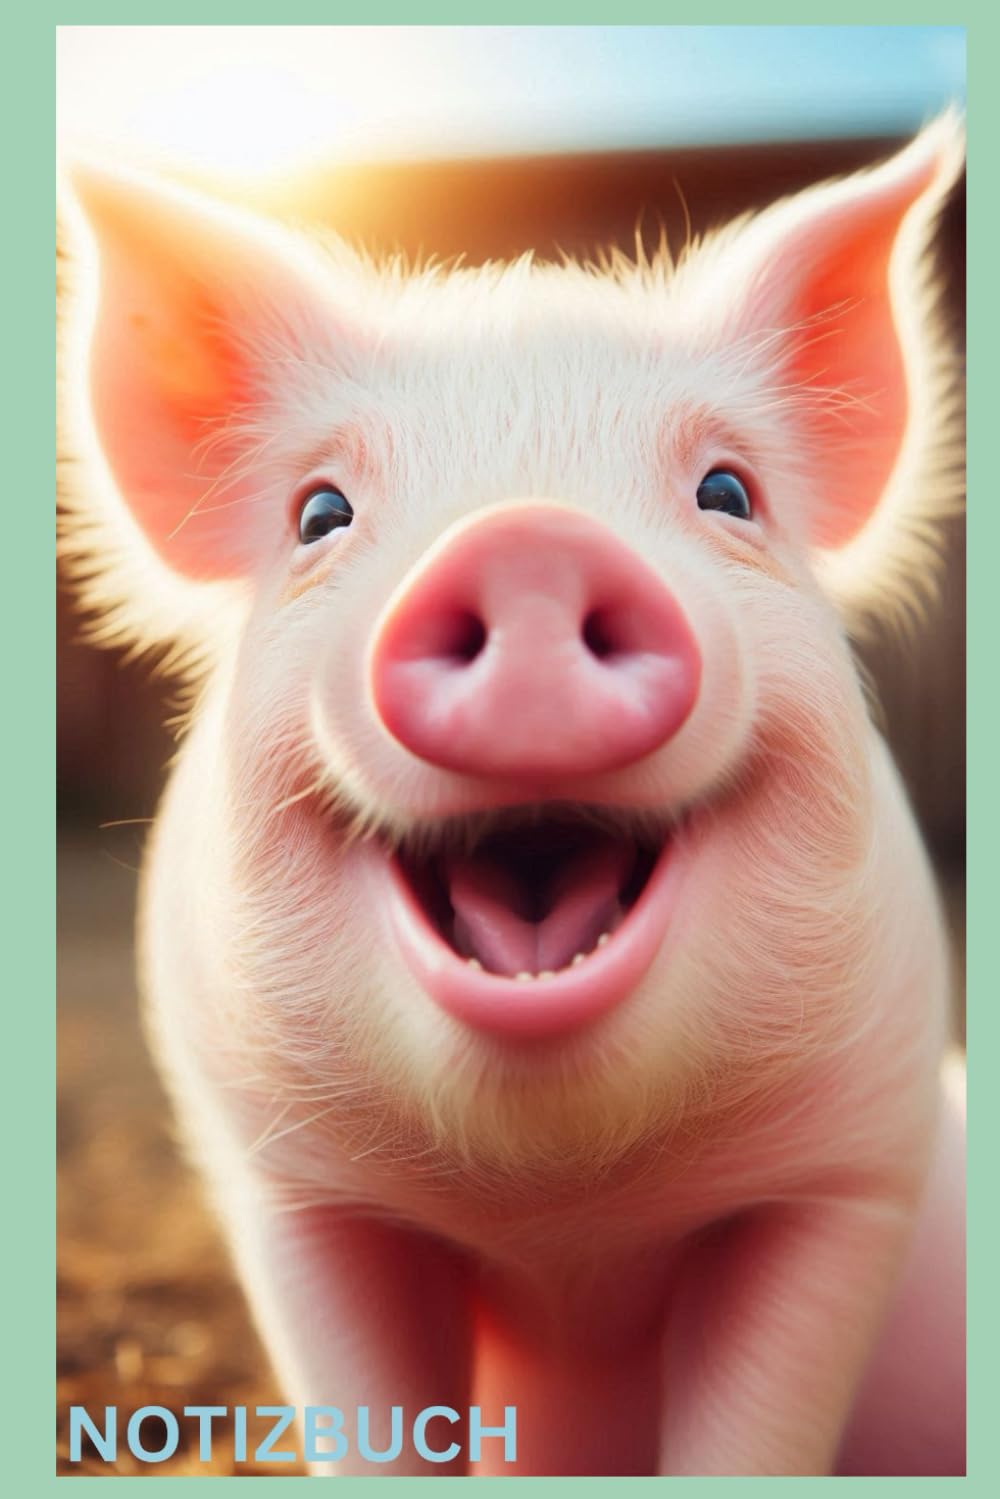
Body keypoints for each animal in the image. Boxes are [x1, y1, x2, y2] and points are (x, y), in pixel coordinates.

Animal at [58, 114, 966, 1476]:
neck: (560, 1215)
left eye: (727, 492)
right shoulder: (292, 1192)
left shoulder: (844, 1176)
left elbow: (753, 1425)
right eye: (320, 511)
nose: (529, 537)